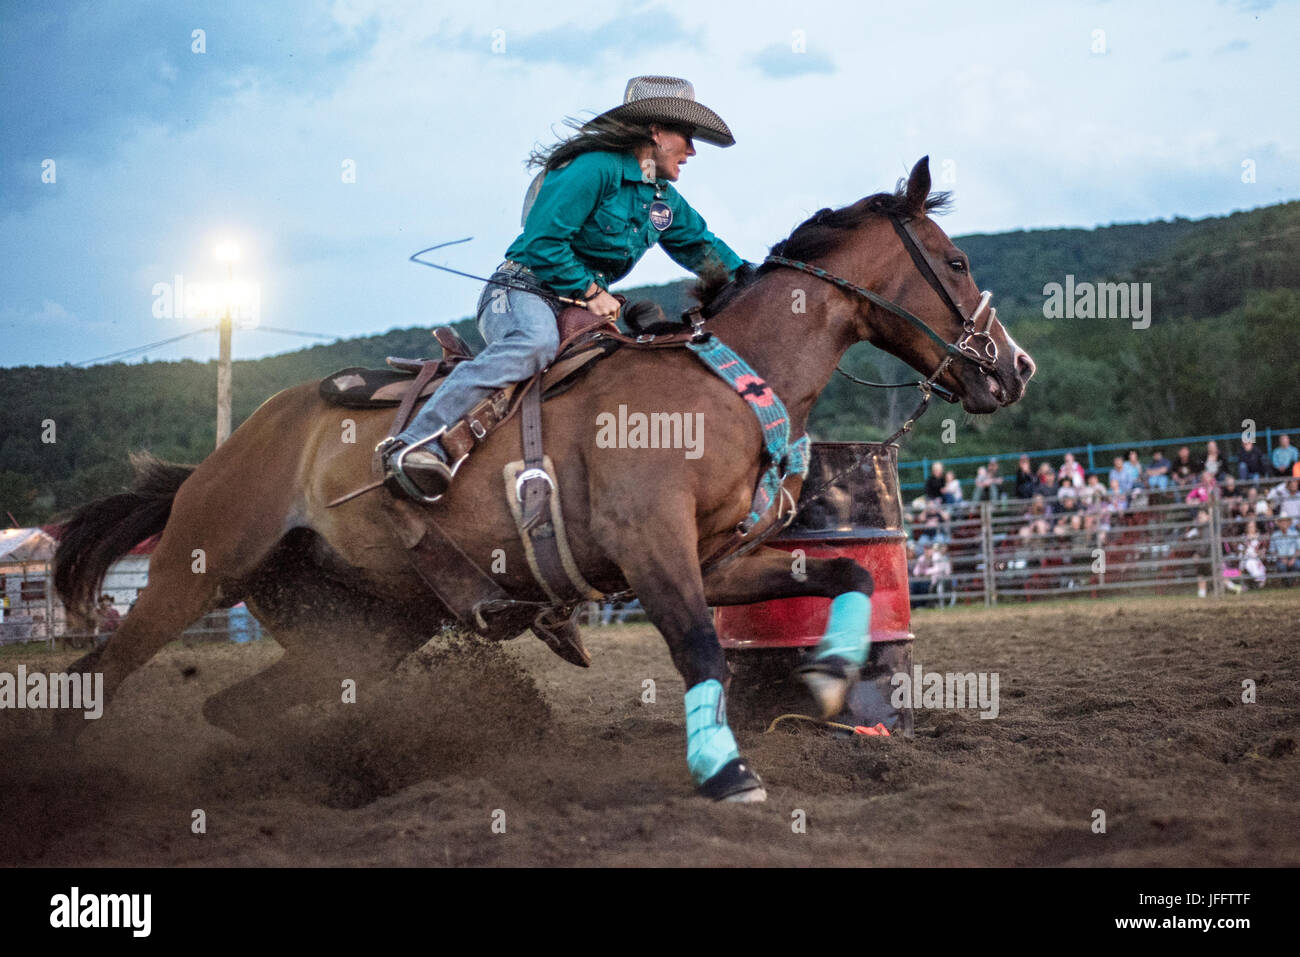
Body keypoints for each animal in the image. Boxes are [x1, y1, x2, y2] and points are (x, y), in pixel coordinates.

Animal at [53, 157, 1034, 800]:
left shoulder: (719, 559)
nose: (1016, 367)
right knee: (94, 679)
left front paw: (830, 676)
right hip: (190, 572)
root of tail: (228, 452)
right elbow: (699, 647)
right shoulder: (650, 548)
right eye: (955, 262)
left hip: (367, 624)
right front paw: (727, 773)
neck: (724, 379)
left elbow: (841, 570)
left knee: (238, 704)